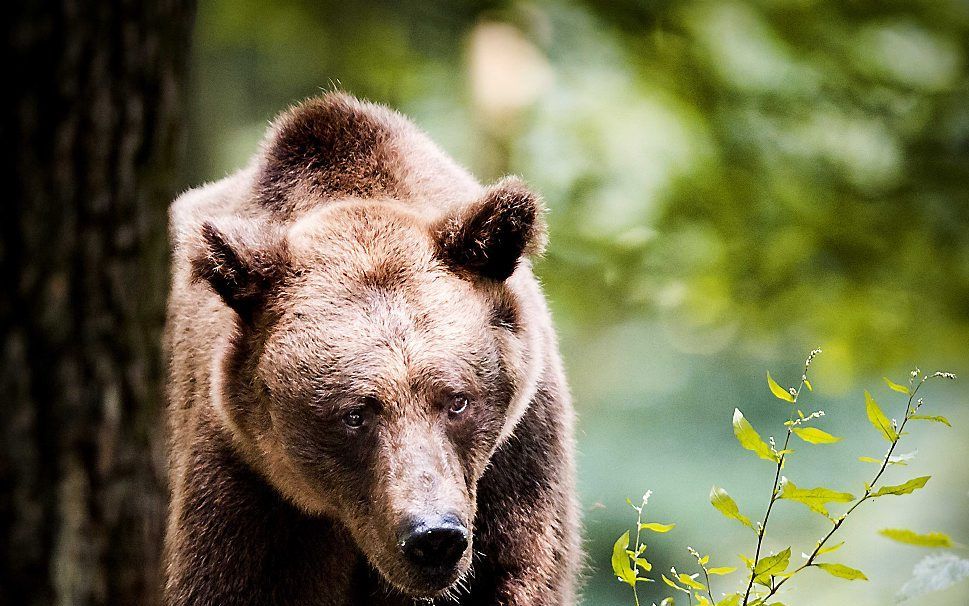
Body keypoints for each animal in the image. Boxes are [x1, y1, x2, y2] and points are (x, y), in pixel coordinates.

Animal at [163, 92, 580, 604]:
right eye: (355, 414)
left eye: (458, 401)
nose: (434, 537)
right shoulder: (246, 481)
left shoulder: (519, 464)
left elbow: (514, 573)